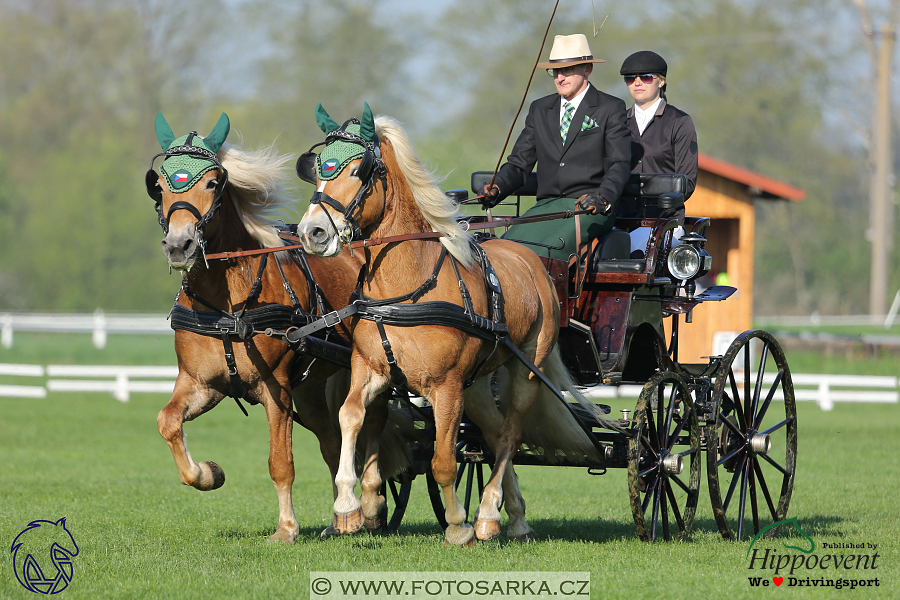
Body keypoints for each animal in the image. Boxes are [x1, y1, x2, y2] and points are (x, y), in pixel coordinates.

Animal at [147, 112, 412, 544]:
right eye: (159, 184)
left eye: (212, 182)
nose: (179, 245)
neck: (228, 303)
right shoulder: (202, 382)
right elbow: (168, 422)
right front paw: (207, 473)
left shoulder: (276, 391)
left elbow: (280, 463)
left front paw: (286, 528)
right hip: (312, 390)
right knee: (332, 441)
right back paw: (342, 517)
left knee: (370, 423)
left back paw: (370, 505)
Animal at [298, 105, 600, 548]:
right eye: (318, 168)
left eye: (359, 170)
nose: (312, 232)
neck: (407, 288)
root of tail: (530, 258)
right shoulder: (371, 370)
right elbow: (350, 416)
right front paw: (348, 507)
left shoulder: (445, 386)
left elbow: (443, 460)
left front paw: (458, 524)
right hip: (476, 385)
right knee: (493, 434)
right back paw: (513, 516)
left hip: (525, 368)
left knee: (509, 435)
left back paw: (487, 513)